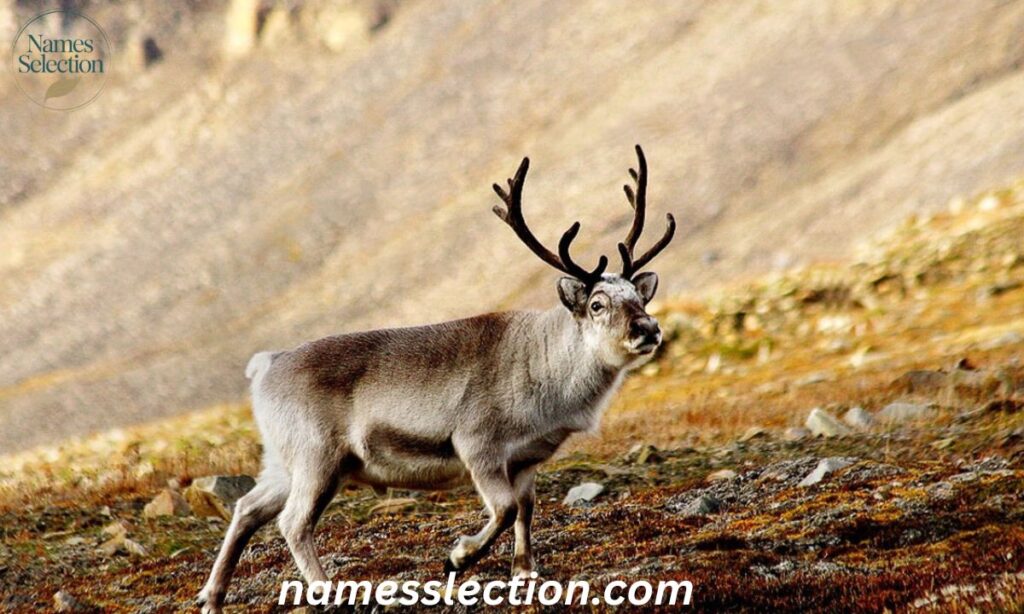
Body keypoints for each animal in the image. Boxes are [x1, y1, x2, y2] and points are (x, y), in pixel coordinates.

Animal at [198, 145, 675, 613]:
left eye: (638, 297)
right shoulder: (477, 444)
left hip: (283, 462)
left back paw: (212, 597)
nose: (648, 328)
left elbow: (525, 509)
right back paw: (328, 593)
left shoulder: (525, 460)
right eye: (597, 304)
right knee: (293, 522)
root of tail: (265, 365)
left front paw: (525, 573)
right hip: (318, 458)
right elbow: (504, 510)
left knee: (246, 508)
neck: (548, 367)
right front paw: (459, 556)